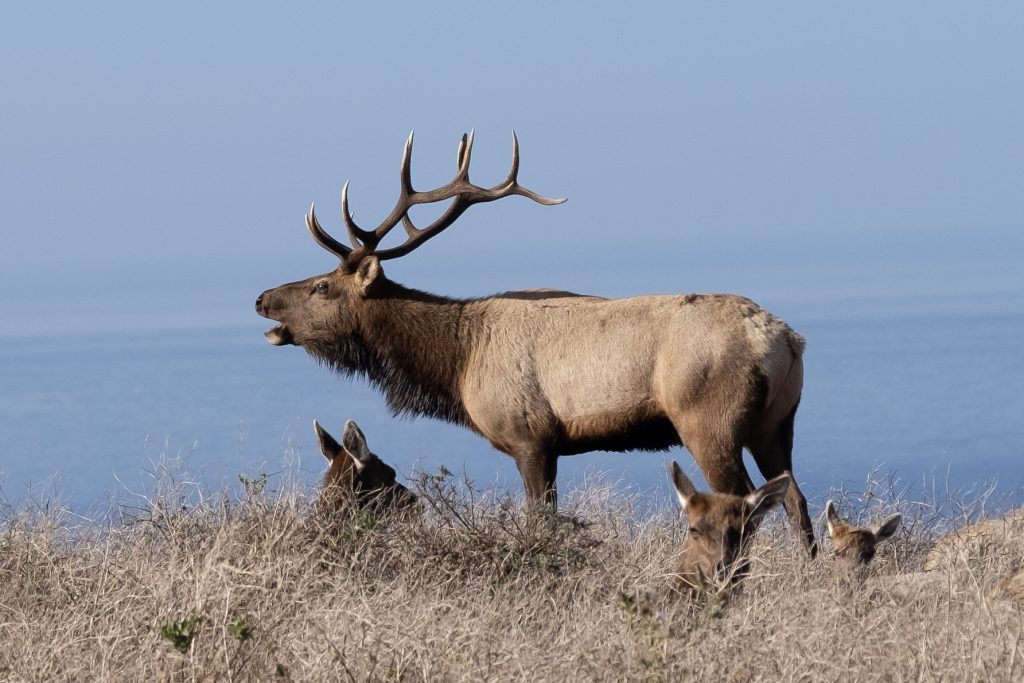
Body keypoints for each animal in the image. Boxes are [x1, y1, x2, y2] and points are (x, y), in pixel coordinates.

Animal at [256, 132, 815, 557]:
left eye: (321, 286)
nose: (262, 298)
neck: (457, 364)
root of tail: (787, 340)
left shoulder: (530, 436)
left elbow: (539, 518)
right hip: (777, 422)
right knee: (794, 496)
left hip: (707, 418)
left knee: (747, 500)